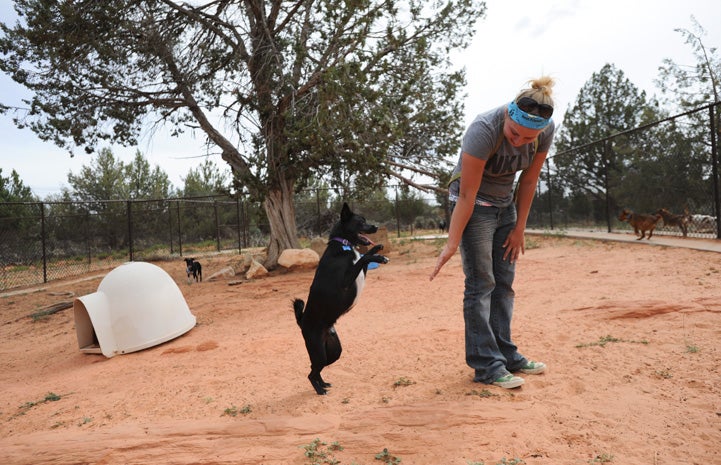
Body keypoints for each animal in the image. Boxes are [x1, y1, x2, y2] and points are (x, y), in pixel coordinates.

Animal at [292, 201, 388, 394]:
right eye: (361, 221)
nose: (375, 227)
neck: (343, 245)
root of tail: (302, 321)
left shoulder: (359, 274)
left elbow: (363, 257)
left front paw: (376, 248)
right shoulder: (346, 281)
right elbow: (363, 259)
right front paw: (378, 256)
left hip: (333, 352)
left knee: (315, 370)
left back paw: (323, 384)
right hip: (319, 351)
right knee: (311, 374)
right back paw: (320, 390)